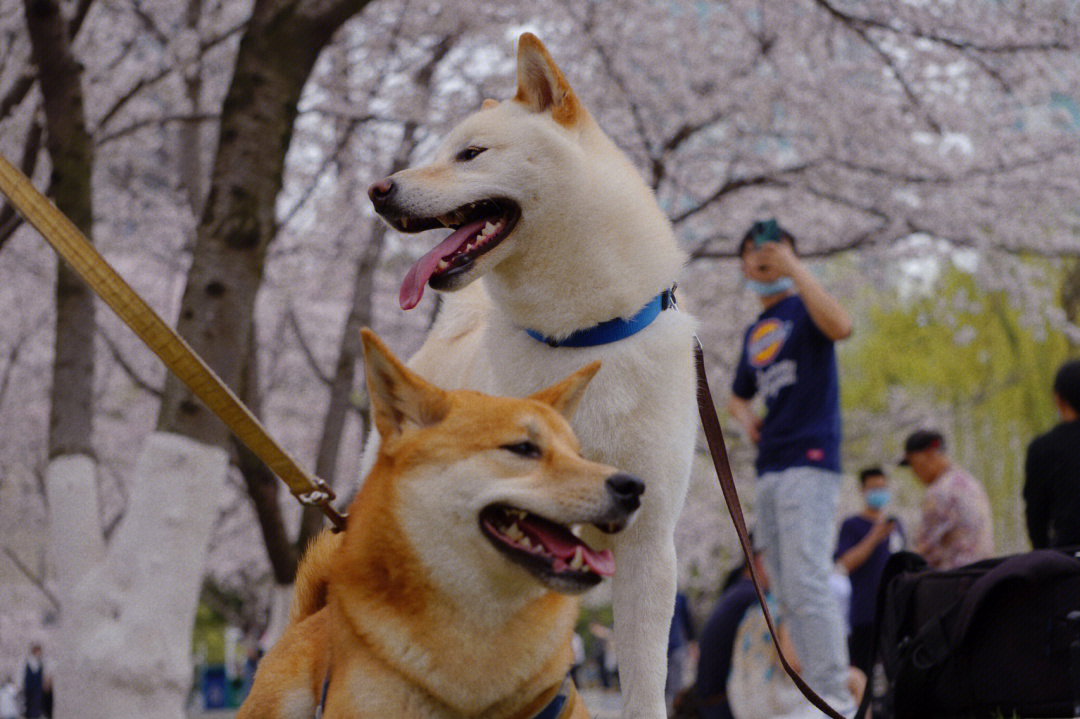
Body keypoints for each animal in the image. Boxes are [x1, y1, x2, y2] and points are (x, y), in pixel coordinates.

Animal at [365, 33, 699, 716]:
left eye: (470, 153)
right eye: (441, 151)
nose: (378, 190)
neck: (580, 338)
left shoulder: (649, 545)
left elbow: (644, 682)